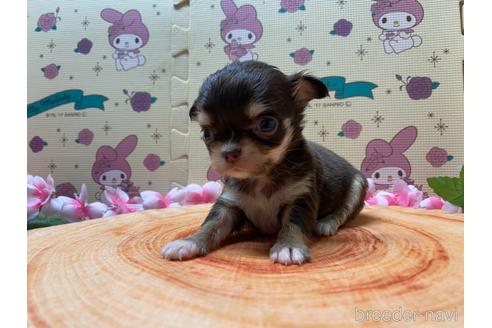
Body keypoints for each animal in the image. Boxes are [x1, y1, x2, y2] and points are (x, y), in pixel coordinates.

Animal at [163, 61, 368, 266]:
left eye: (266, 124)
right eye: (206, 133)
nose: (228, 152)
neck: (260, 177)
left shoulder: (300, 198)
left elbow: (293, 224)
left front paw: (289, 246)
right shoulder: (229, 204)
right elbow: (211, 224)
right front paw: (189, 242)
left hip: (358, 185)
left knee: (344, 211)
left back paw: (327, 222)